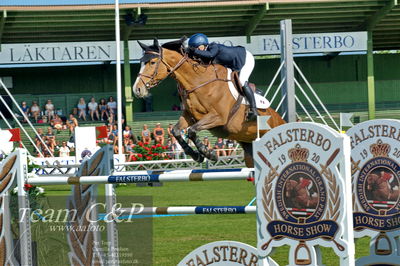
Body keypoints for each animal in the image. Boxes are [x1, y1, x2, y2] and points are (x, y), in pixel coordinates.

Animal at [132, 37, 284, 166]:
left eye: (152, 62)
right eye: (140, 62)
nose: (137, 89)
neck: (198, 82)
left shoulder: (218, 117)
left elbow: (192, 131)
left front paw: (208, 153)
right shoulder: (190, 116)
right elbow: (176, 131)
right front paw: (196, 155)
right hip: (248, 149)